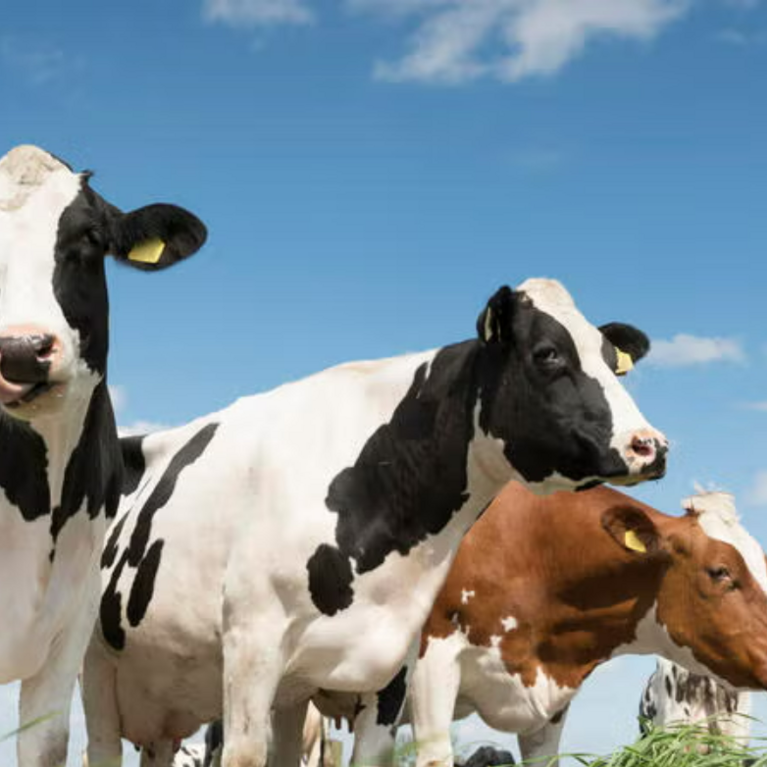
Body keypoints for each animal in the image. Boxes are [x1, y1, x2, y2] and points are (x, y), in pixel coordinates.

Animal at [82, 277, 667, 767]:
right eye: (548, 354)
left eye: (613, 363)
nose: (652, 445)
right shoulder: (251, 644)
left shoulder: (390, 667)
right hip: (96, 670)